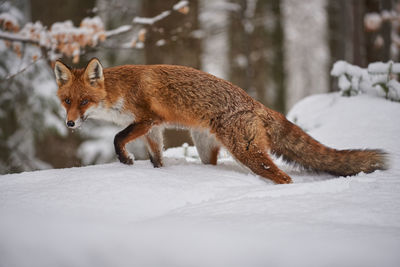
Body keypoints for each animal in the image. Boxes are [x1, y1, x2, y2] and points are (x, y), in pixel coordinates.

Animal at [54, 58, 388, 184]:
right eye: (67, 101)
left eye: (84, 102)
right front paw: (157, 173)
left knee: (284, 177)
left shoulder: (146, 119)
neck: (119, 92)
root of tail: (258, 105)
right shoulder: (154, 128)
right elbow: (157, 157)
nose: (70, 124)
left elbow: (117, 138)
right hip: (206, 147)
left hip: (247, 152)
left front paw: (124, 160)